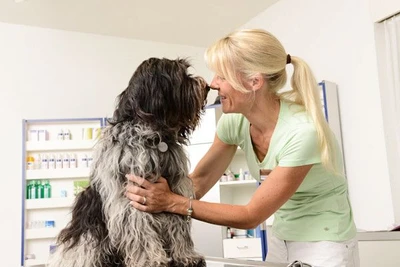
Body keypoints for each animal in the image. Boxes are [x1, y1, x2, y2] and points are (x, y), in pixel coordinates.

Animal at [48, 57, 209, 266]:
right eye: (181, 75)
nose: (207, 87)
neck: (155, 138)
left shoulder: (175, 188)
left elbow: (178, 225)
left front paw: (186, 256)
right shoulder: (131, 196)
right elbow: (140, 227)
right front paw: (151, 259)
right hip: (89, 229)